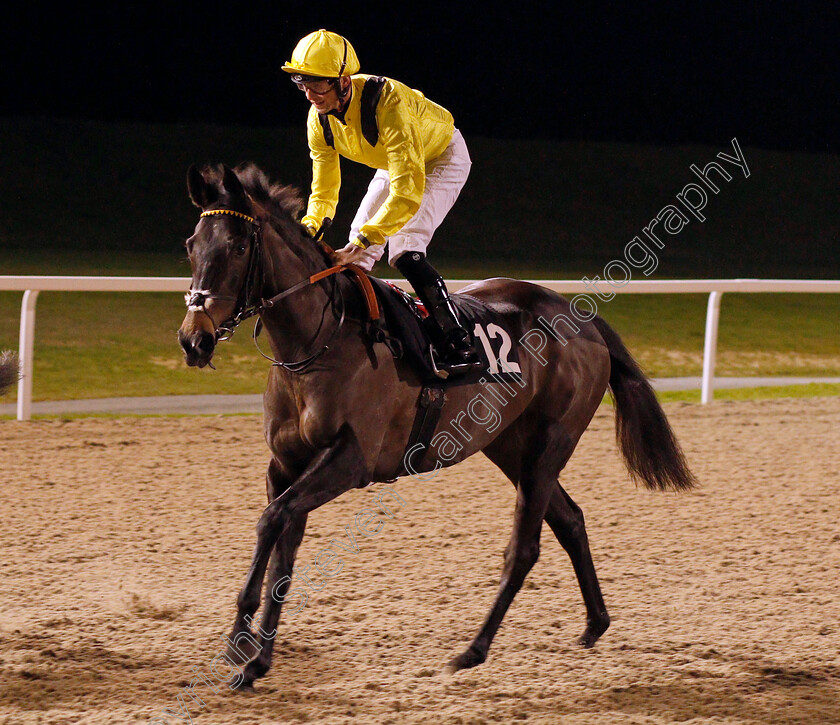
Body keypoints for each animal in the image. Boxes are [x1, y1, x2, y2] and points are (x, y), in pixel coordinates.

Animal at [177, 163, 696, 684]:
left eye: (238, 247)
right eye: (192, 244)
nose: (193, 339)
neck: (317, 342)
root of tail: (582, 318)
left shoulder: (350, 461)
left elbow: (271, 520)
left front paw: (245, 649)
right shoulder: (286, 463)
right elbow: (282, 543)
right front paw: (251, 650)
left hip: (551, 442)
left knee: (525, 548)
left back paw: (474, 649)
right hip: (509, 444)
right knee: (569, 519)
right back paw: (595, 623)